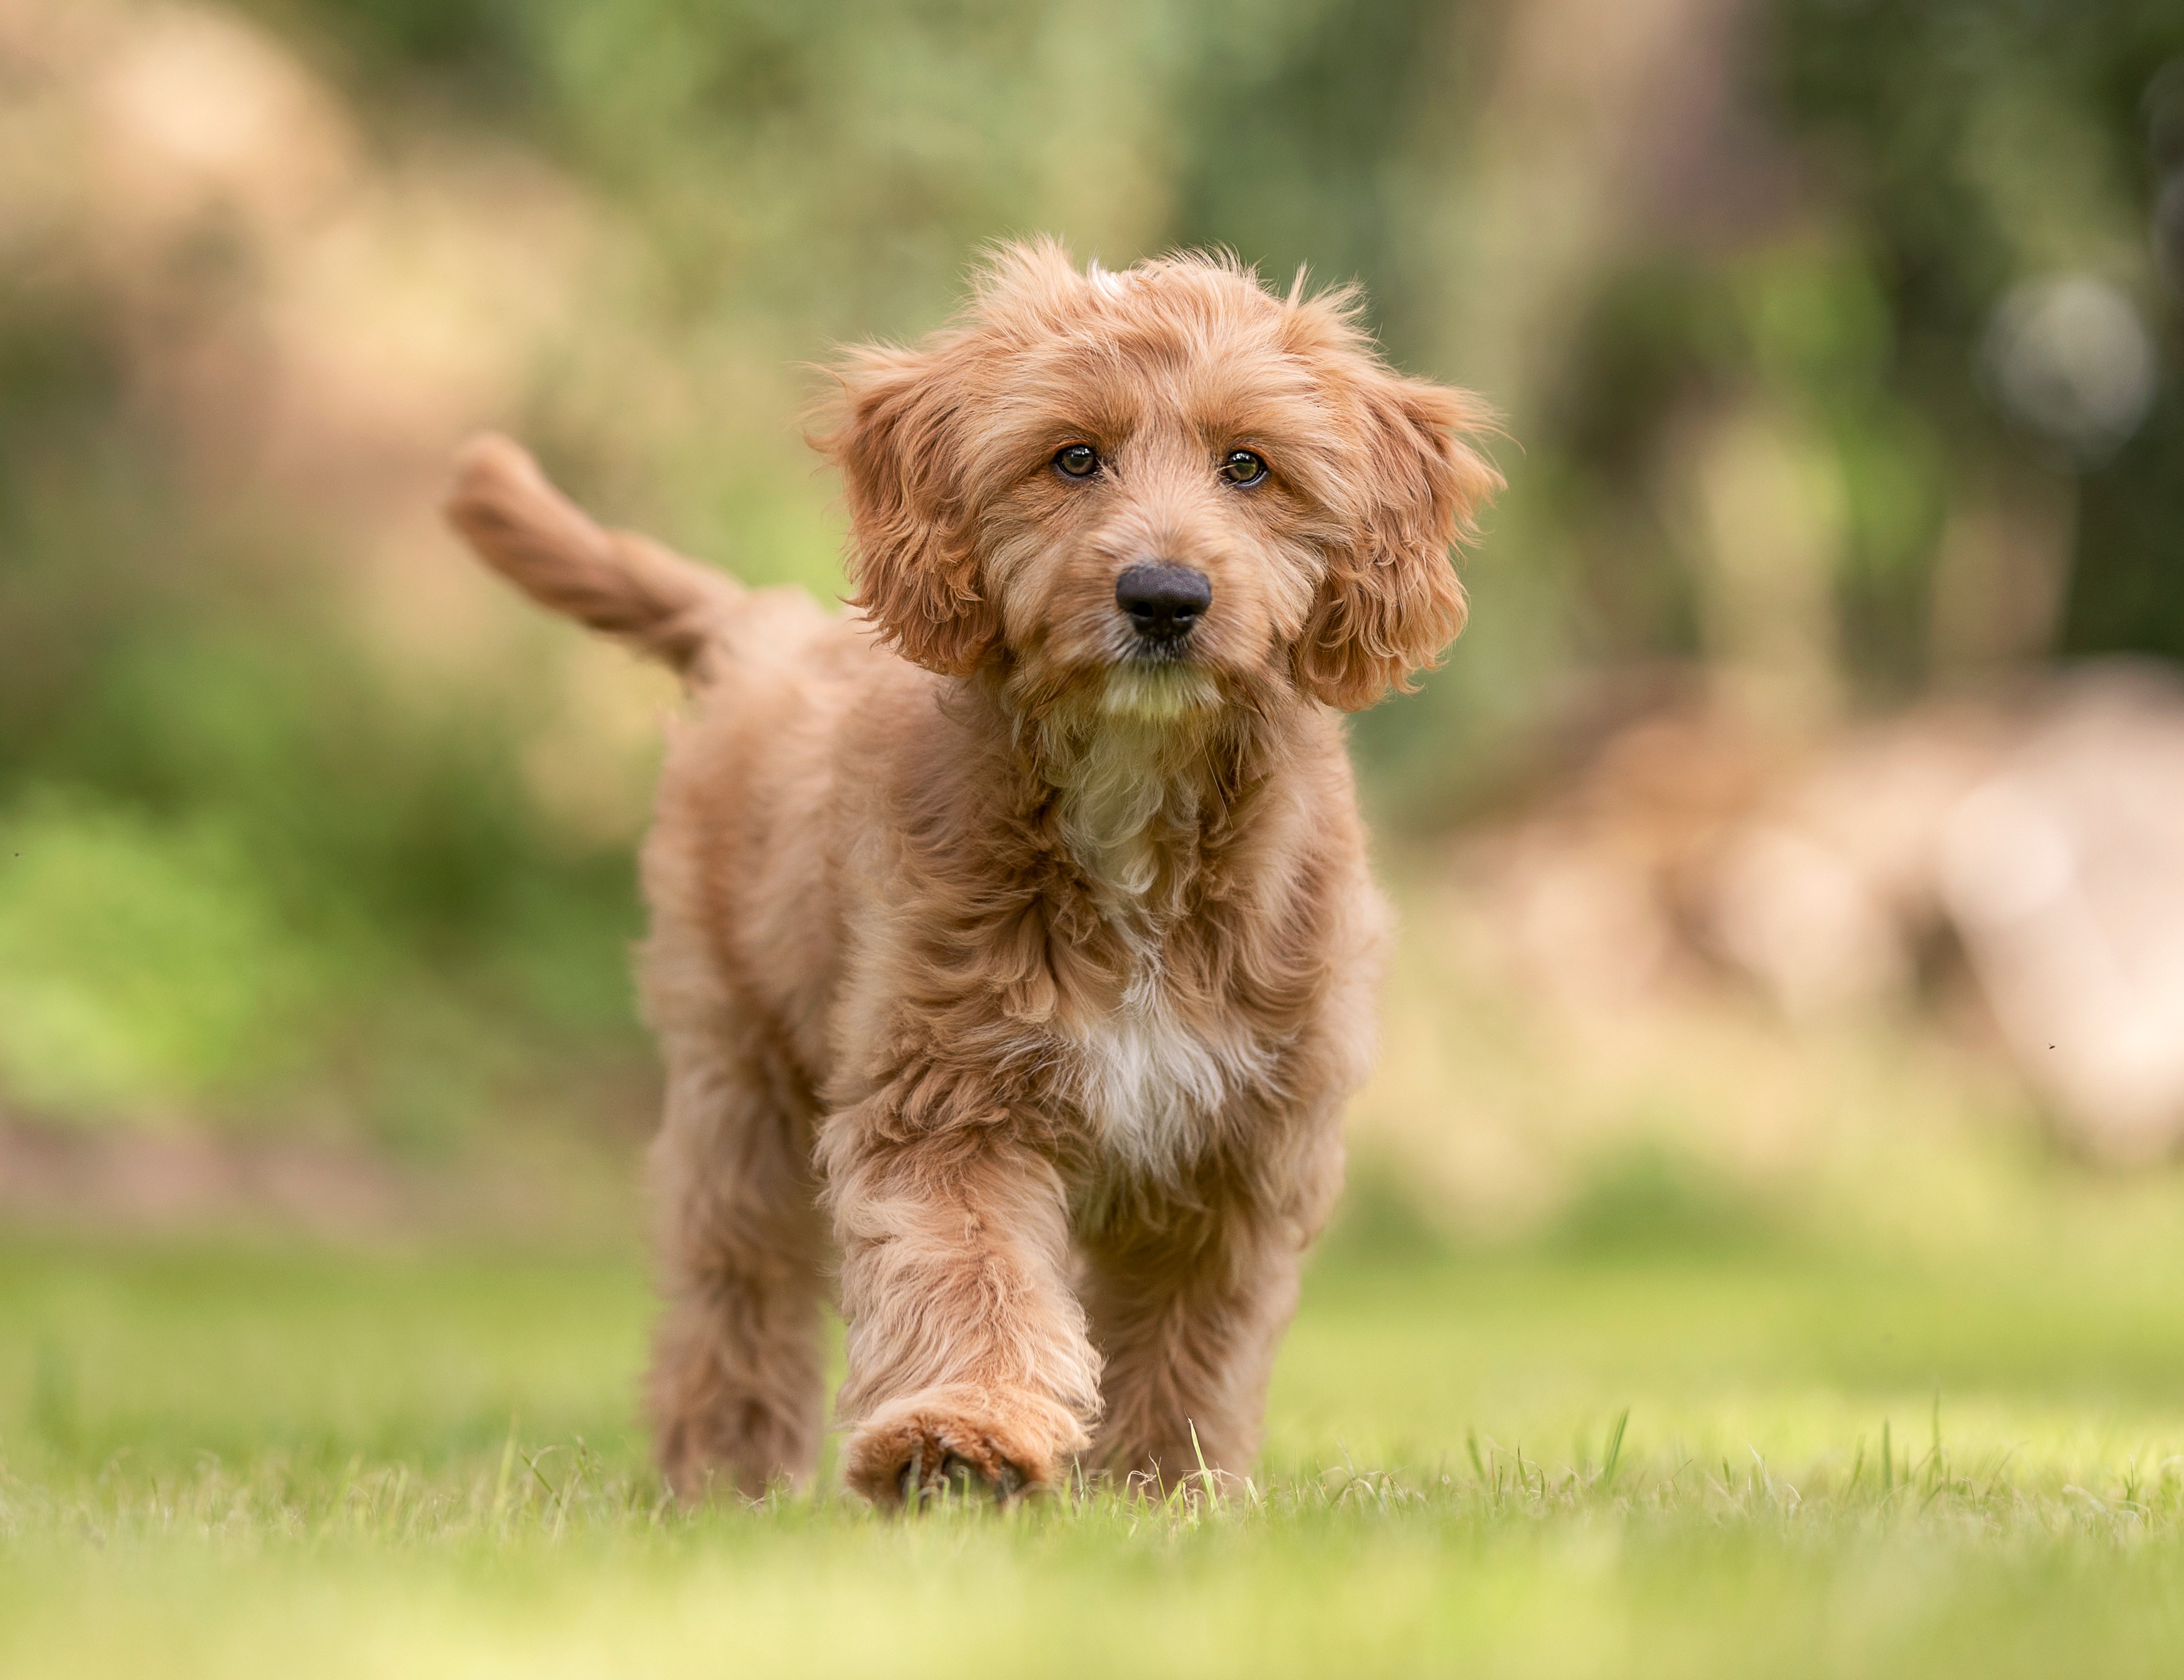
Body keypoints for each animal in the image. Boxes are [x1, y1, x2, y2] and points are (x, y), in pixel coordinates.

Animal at [443, 239, 1502, 1503]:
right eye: (1073, 457)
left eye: (1248, 466)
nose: (1163, 595)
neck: (1132, 805)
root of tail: (764, 627)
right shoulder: (945, 1094)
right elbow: (968, 1274)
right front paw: (960, 1438)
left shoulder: (1236, 1139)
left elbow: (1192, 1335)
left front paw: (1163, 1483)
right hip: (737, 1067)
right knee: (734, 1283)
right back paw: (728, 1475)